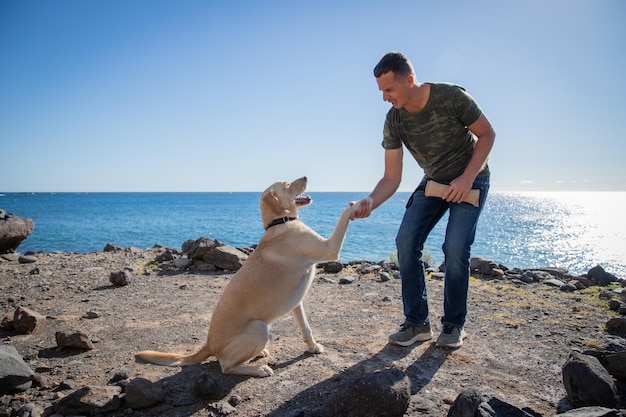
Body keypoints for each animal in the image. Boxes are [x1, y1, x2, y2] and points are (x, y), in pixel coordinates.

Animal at [134, 176, 354, 376]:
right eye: (287, 184)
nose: (306, 177)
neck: (278, 223)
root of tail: (209, 344)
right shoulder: (329, 248)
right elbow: (344, 215)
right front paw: (355, 206)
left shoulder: (296, 302)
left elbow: (306, 328)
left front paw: (313, 347)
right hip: (259, 329)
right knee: (227, 367)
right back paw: (258, 369)